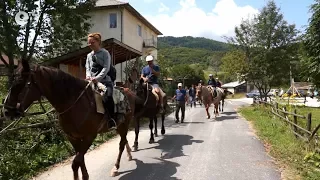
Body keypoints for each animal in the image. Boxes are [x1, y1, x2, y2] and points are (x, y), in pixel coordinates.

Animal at [1, 59, 134, 179]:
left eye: (22, 84)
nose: (6, 111)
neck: (74, 104)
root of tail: (128, 92)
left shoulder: (89, 136)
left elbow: (76, 162)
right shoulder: (73, 137)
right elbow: (80, 161)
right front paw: (84, 175)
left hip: (124, 124)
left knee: (121, 144)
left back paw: (116, 167)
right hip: (118, 125)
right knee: (124, 141)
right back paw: (129, 156)